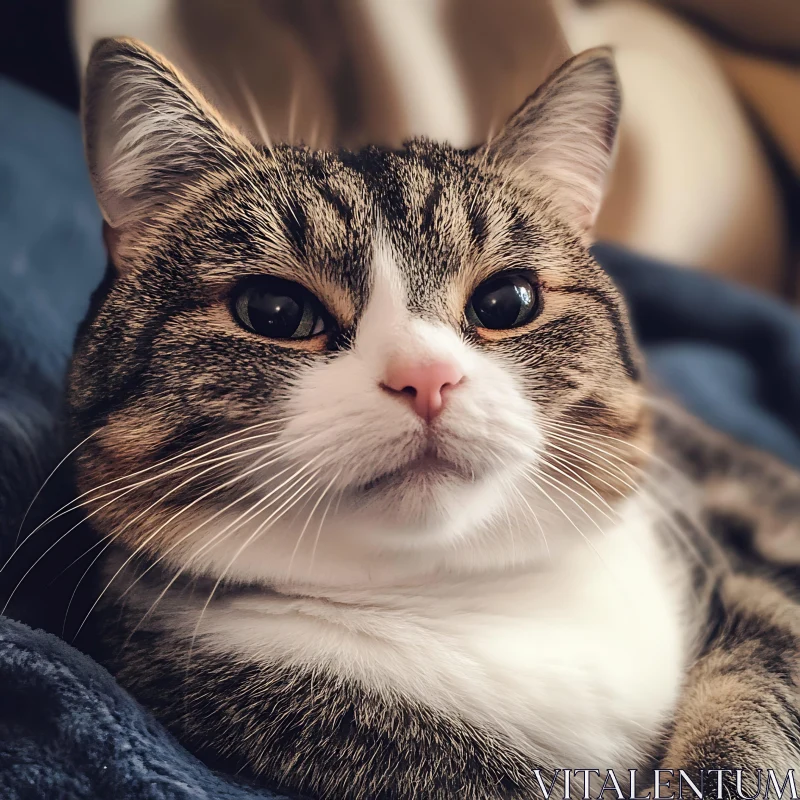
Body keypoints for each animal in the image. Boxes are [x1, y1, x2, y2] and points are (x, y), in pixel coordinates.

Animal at [62, 36, 800, 800]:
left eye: (508, 302)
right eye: (274, 312)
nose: (425, 378)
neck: (475, 597)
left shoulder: (745, 583)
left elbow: (754, 689)